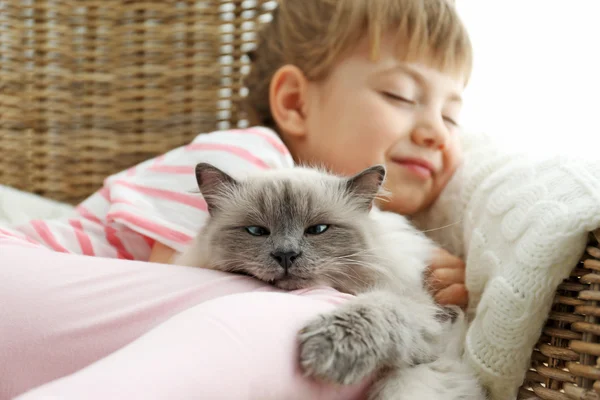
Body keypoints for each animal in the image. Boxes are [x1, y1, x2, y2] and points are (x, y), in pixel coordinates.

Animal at [175, 162, 488, 400]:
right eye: (256, 231)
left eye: (318, 229)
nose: (286, 255)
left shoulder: (430, 317)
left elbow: (378, 308)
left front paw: (333, 349)